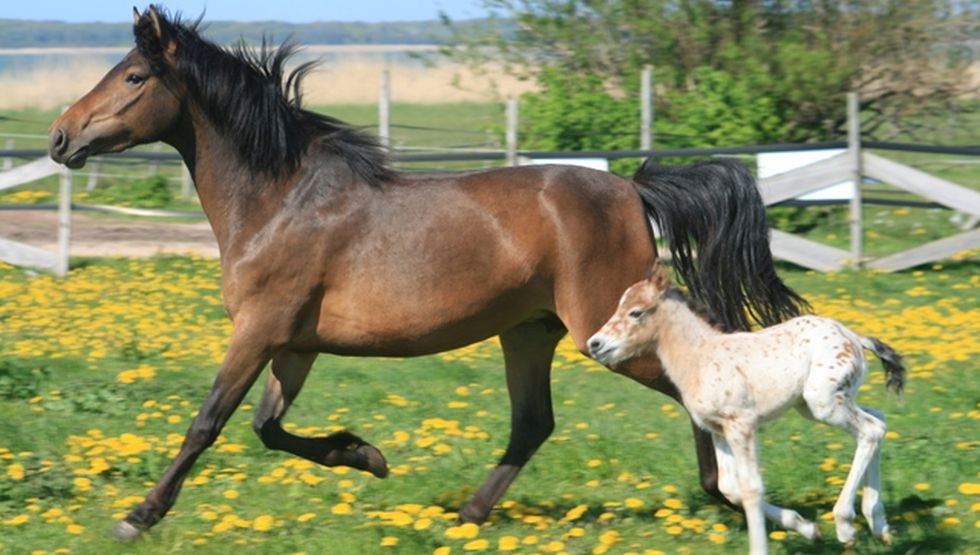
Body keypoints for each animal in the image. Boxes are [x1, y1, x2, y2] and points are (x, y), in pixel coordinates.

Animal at [49, 5, 808, 544]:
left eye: (134, 77)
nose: (61, 136)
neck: (280, 201)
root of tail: (632, 188)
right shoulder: (292, 344)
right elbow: (267, 427)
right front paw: (365, 454)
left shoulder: (258, 330)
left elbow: (207, 422)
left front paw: (137, 516)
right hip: (530, 331)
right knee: (533, 423)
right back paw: (468, 515)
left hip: (604, 328)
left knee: (681, 383)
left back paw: (729, 494)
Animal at [584, 262, 908, 555]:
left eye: (636, 312)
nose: (595, 343)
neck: (700, 356)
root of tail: (854, 337)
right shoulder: (718, 429)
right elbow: (730, 487)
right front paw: (806, 528)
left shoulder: (742, 426)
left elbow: (751, 489)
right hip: (816, 404)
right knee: (879, 419)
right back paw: (879, 525)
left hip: (824, 403)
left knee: (870, 430)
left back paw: (846, 525)